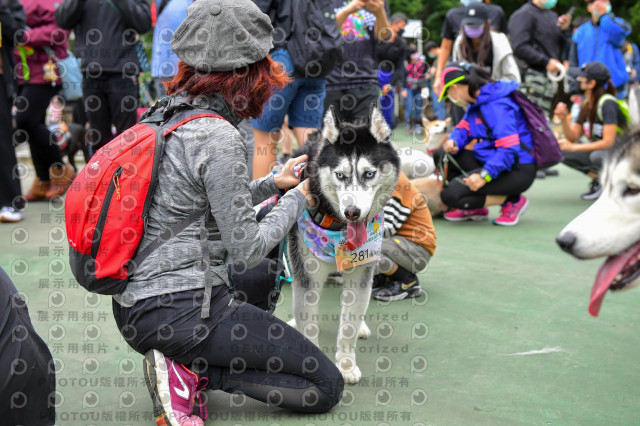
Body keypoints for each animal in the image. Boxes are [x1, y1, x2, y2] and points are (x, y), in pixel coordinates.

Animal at [286, 105, 398, 384]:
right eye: (340, 175)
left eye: (369, 174)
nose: (352, 212)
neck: (336, 227)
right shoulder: (307, 276)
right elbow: (308, 321)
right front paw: (313, 365)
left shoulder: (361, 271)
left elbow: (348, 325)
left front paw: (346, 366)